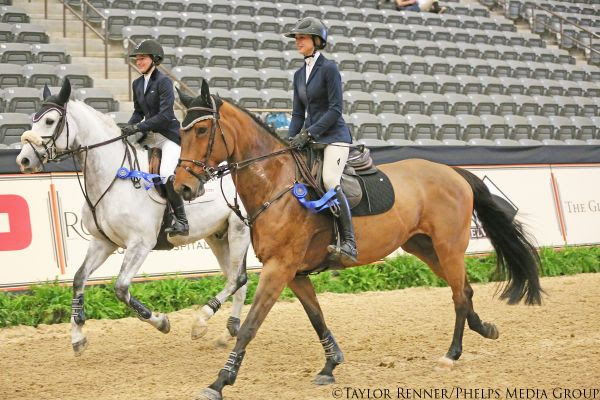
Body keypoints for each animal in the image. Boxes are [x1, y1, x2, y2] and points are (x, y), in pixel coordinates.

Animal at [15, 79, 252, 354]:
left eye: (50, 121)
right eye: (33, 119)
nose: (24, 160)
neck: (113, 177)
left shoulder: (140, 244)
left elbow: (120, 288)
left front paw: (161, 322)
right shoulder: (103, 242)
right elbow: (78, 279)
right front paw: (77, 338)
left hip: (238, 230)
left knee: (238, 278)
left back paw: (203, 323)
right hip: (217, 236)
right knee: (237, 280)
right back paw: (228, 333)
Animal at [173, 79, 544, 400]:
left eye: (202, 130)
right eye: (181, 131)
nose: (182, 188)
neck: (276, 184)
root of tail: (452, 172)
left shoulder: (280, 268)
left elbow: (251, 326)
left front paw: (220, 381)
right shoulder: (294, 273)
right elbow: (317, 317)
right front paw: (330, 365)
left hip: (448, 246)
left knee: (458, 294)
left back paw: (452, 353)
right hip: (424, 248)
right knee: (464, 289)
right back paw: (485, 329)